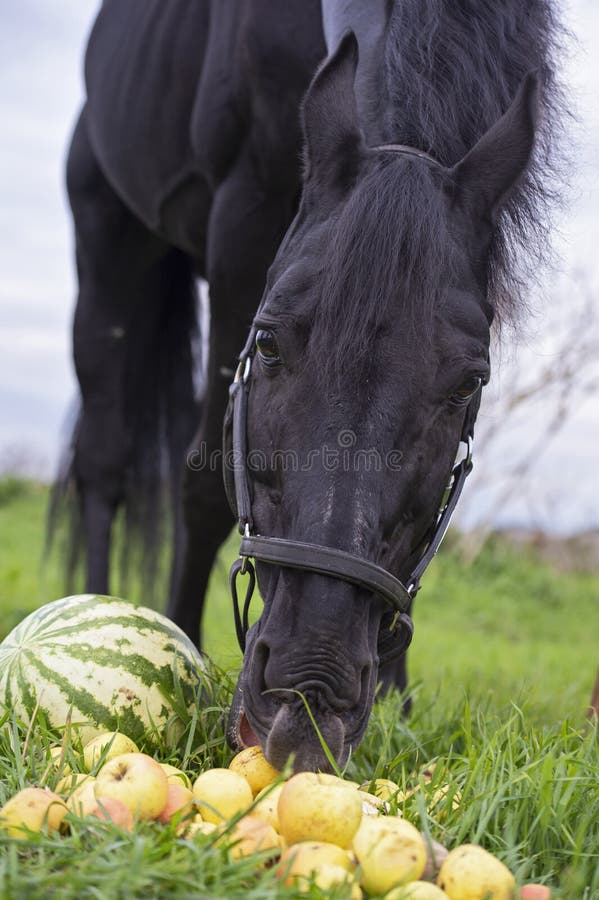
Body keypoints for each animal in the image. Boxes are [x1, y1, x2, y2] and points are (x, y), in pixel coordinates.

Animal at [62, 0, 568, 768]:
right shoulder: (242, 221)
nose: (307, 695)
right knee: (105, 463)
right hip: (109, 242)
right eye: (268, 342)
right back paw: (96, 606)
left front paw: (395, 701)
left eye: (469, 382)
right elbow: (203, 483)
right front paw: (182, 636)